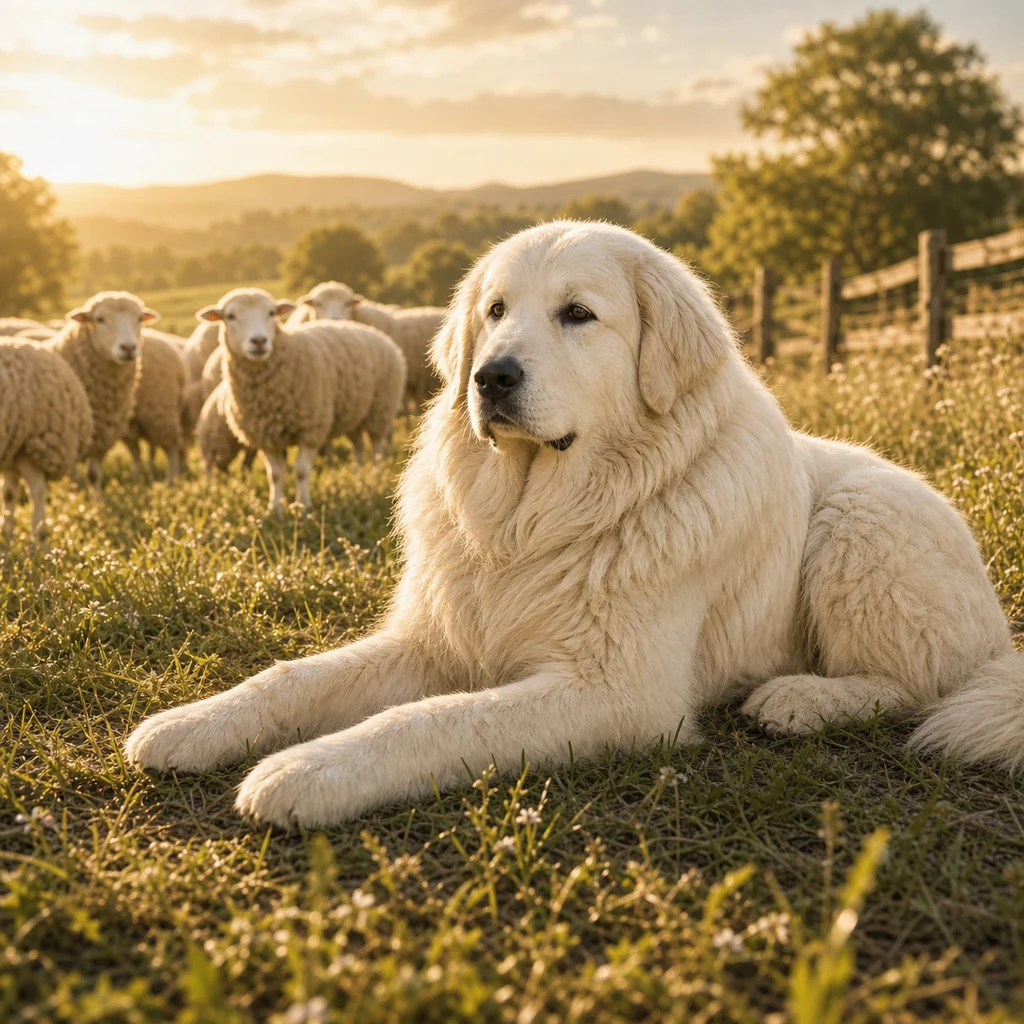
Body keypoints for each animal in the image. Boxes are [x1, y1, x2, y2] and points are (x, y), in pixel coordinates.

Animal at [0, 339, 94, 537]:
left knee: (38, 493)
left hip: (32, 448)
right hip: (13, 450)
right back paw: (8, 534)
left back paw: (38, 539)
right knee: (10, 493)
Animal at [47, 291, 158, 492]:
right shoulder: (69, 440)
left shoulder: (103, 435)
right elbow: (75, 479)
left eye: (139, 318)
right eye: (100, 319)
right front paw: (76, 497)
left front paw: (98, 499)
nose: (128, 347)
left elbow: (94, 474)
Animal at [198, 287, 406, 513]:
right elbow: (275, 475)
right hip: (353, 411)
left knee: (376, 446)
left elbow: (301, 471)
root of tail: (375, 332)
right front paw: (275, 509)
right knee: (358, 444)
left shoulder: (311, 428)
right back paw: (359, 474)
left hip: (380, 406)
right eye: (230, 316)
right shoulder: (265, 435)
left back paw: (375, 474)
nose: (259, 341)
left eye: (271, 313)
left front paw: (303, 506)